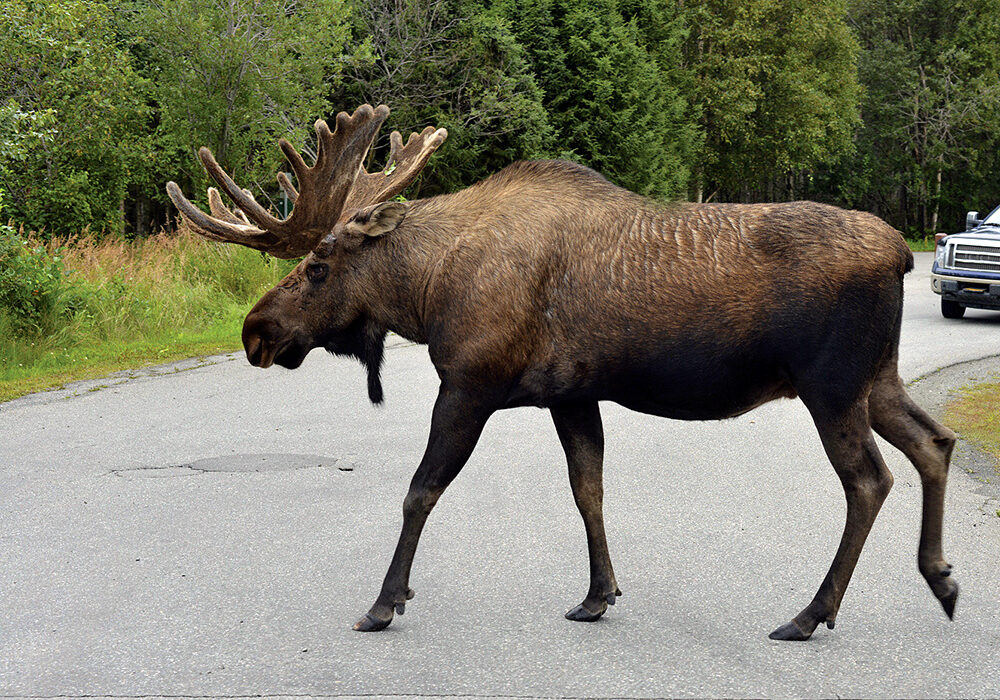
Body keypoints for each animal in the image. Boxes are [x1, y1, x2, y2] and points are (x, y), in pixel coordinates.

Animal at [168, 102, 956, 640]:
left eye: (320, 265)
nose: (256, 331)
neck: (426, 291)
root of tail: (902, 252)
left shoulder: (470, 383)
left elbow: (419, 492)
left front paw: (385, 602)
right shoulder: (570, 395)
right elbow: (588, 491)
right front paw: (598, 594)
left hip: (830, 385)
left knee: (870, 479)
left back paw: (811, 612)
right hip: (877, 379)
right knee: (934, 443)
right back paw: (940, 578)